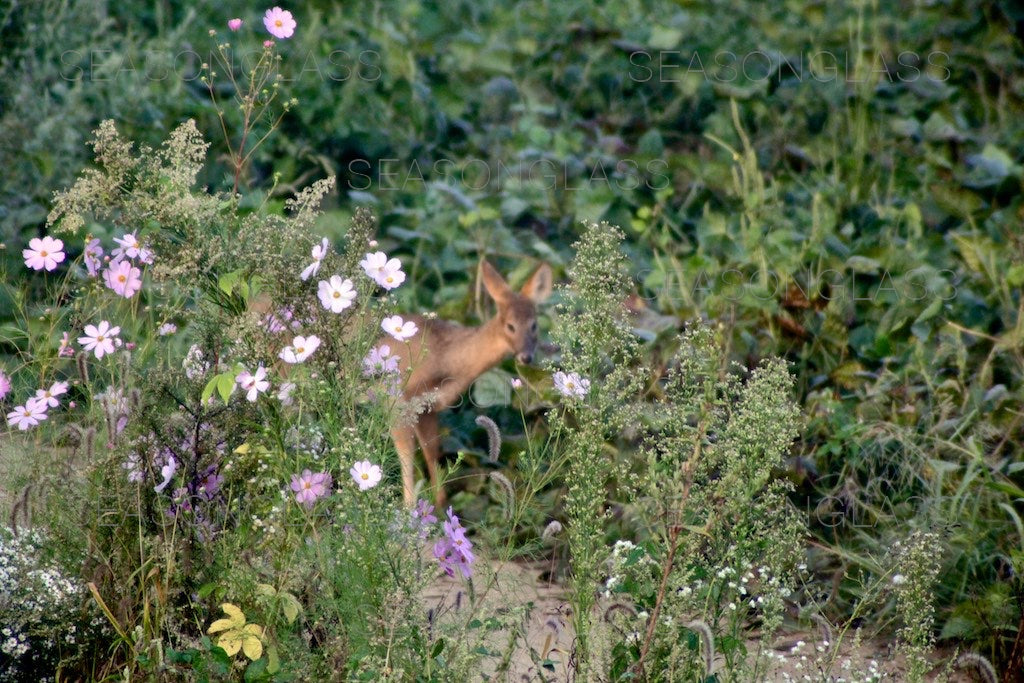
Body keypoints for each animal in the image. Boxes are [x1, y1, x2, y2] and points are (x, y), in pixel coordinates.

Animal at [385, 260, 552, 508]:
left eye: (534, 325)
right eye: (510, 326)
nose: (526, 357)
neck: (448, 358)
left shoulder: (429, 408)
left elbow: (433, 453)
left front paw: (440, 505)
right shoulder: (401, 401)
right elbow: (407, 454)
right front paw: (409, 509)